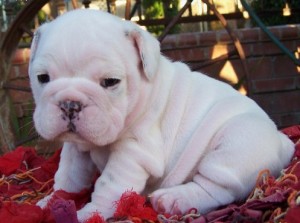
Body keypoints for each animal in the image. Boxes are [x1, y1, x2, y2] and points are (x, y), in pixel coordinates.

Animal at [29, 9, 294, 221]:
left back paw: (174, 200)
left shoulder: (133, 152)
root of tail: (283, 141)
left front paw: (89, 213)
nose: (69, 104)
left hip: (236, 143)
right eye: (42, 77)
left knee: (215, 188)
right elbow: (68, 176)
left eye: (111, 82)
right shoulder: (76, 148)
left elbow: (109, 184)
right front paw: (51, 201)